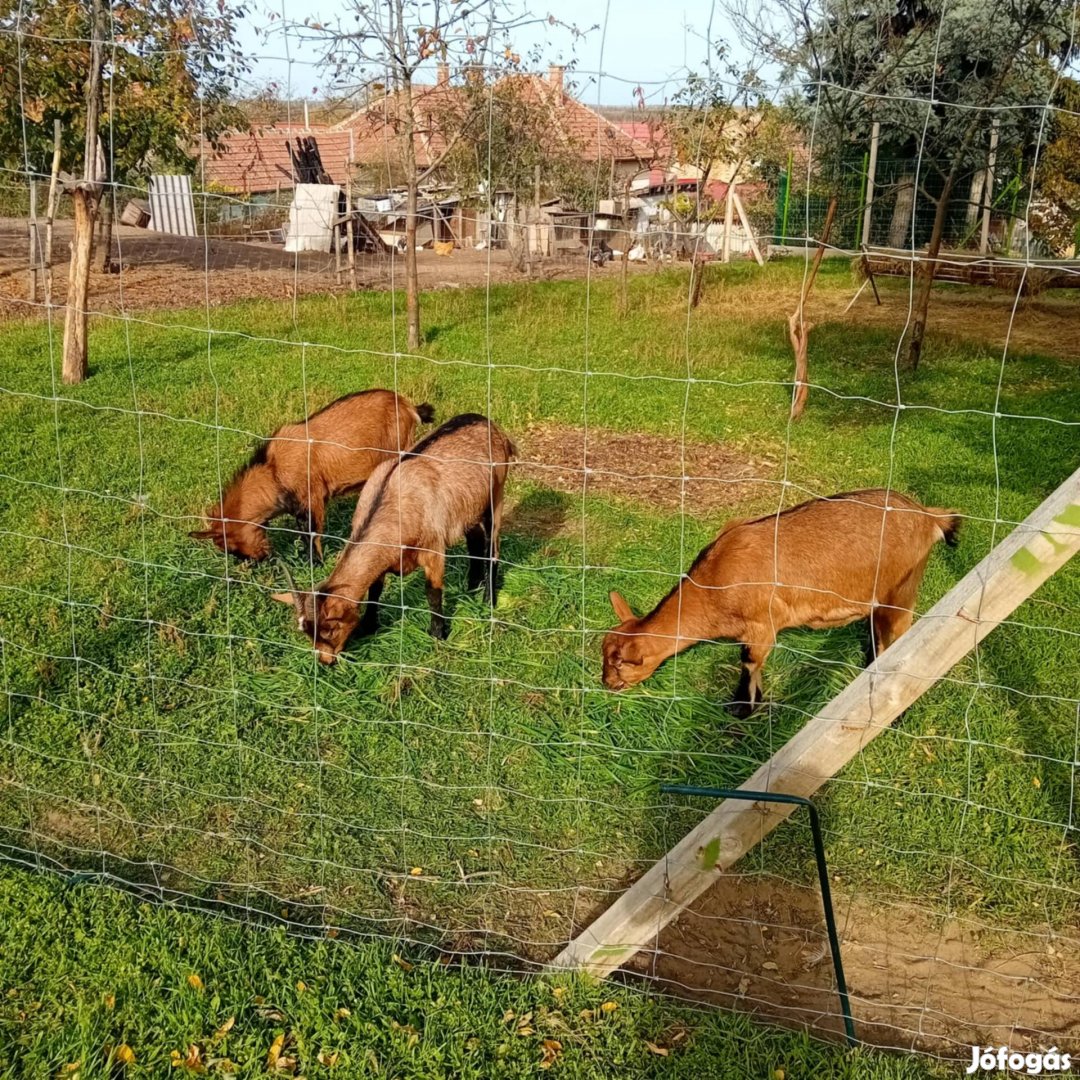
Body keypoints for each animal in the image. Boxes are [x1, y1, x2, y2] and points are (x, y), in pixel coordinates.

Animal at [190, 390, 434, 561]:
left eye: (230, 547)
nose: (259, 560)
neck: (273, 471)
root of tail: (407, 405)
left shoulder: (313, 497)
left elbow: (312, 534)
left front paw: (315, 563)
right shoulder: (298, 507)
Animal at [276, 412, 516, 660]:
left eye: (330, 629)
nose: (326, 661)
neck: (392, 502)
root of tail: (491, 426)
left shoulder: (433, 549)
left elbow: (433, 592)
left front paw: (437, 634)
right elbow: (374, 590)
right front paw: (368, 626)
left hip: (496, 495)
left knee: (492, 547)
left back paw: (488, 601)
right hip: (469, 508)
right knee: (475, 542)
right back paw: (471, 587)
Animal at [600, 492, 963, 717]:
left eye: (621, 664)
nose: (607, 684)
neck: (714, 583)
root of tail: (927, 517)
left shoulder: (762, 624)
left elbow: (749, 662)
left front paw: (744, 708)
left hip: (903, 590)